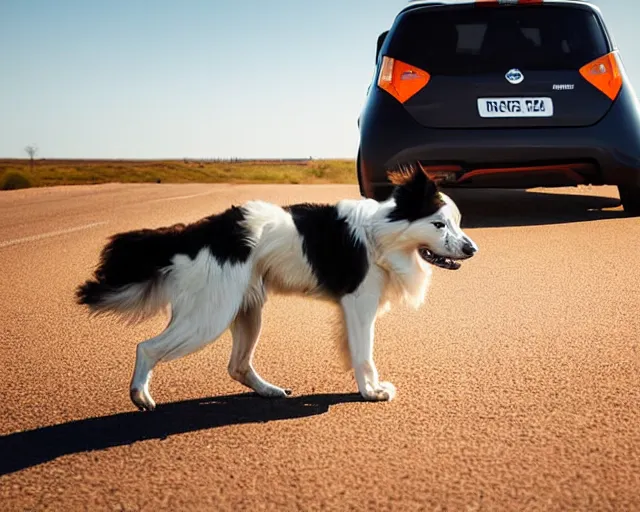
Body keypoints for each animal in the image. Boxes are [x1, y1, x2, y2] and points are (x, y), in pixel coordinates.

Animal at [75, 162, 478, 410]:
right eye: (439, 225)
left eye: (457, 223)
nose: (471, 249)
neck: (380, 233)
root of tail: (198, 231)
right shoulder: (359, 305)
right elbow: (364, 354)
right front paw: (371, 392)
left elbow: (355, 352)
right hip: (209, 317)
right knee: (147, 347)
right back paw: (140, 396)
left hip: (245, 311)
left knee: (237, 365)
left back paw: (269, 391)